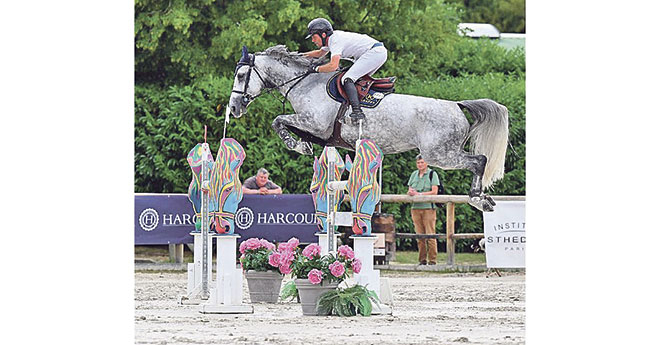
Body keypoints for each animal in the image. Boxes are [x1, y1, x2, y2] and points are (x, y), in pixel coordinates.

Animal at [229, 44, 512, 211]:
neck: (305, 84)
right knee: (478, 161)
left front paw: (296, 145)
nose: (233, 108)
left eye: (241, 76)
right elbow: (288, 125)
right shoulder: (319, 132)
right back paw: (483, 199)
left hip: (439, 155)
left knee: (479, 160)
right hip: (443, 153)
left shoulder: (315, 124)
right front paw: (303, 144)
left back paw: (478, 198)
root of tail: (456, 104)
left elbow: (278, 120)